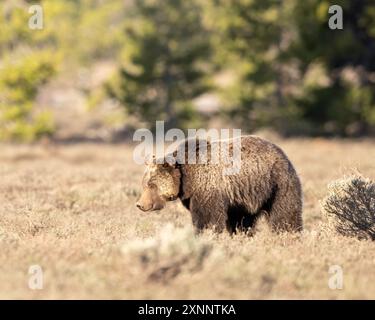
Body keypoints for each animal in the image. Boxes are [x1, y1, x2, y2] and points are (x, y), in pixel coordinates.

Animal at [137, 134, 304, 234]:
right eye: (144, 184)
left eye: (152, 185)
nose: (140, 204)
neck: (186, 179)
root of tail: (280, 151)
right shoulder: (191, 195)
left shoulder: (207, 188)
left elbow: (206, 217)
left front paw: (205, 233)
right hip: (244, 197)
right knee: (242, 220)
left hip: (277, 183)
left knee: (285, 212)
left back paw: (289, 232)